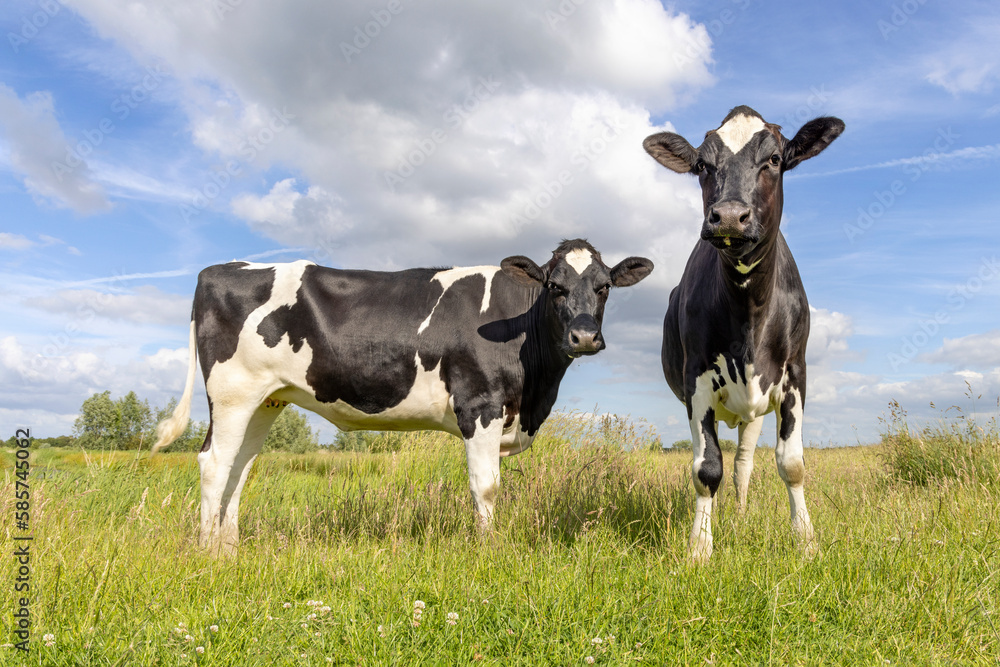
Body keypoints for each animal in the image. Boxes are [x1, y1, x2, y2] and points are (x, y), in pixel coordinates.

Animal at [152, 239, 652, 552]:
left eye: (605, 287)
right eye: (554, 286)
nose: (584, 337)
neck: (535, 394)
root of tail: (221, 268)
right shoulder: (480, 404)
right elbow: (486, 485)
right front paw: (489, 550)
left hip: (267, 399)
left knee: (239, 467)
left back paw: (228, 550)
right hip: (233, 392)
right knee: (215, 463)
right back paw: (206, 553)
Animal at [644, 104, 848, 560]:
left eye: (773, 159)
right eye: (702, 165)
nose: (729, 217)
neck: (749, 308)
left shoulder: (794, 374)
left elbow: (791, 463)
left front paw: (806, 541)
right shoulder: (696, 379)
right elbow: (706, 468)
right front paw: (700, 547)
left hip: (754, 411)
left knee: (743, 464)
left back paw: (737, 515)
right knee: (722, 461)